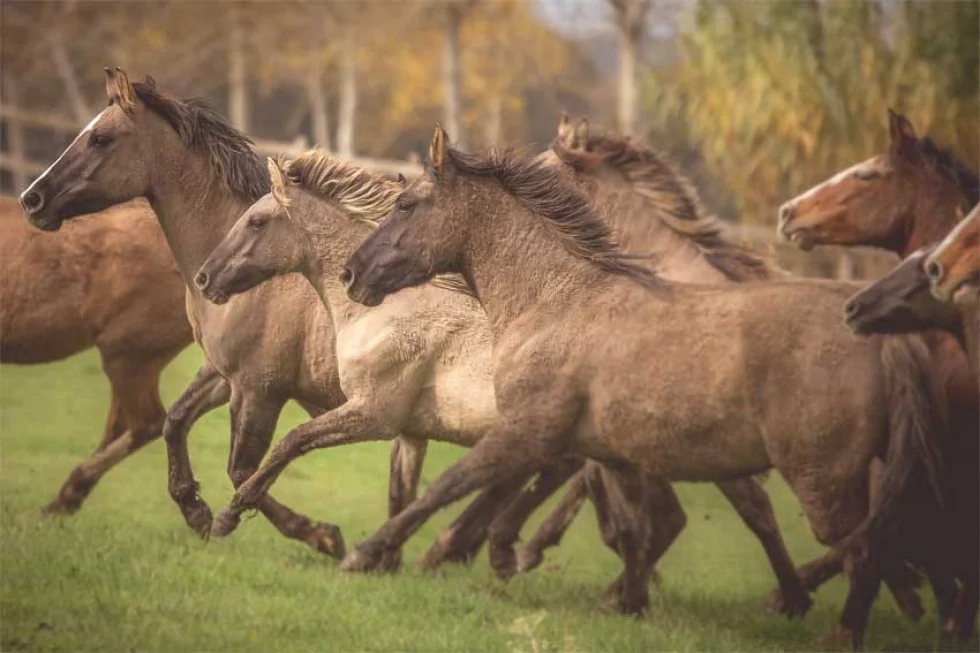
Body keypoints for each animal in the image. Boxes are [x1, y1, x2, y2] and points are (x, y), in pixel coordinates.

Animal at [196, 149, 811, 613]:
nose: (205, 278)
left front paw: (231, 517)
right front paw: (382, 557)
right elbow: (401, 492)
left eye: (256, 220)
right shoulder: (410, 432)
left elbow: (289, 445)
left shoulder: (374, 413)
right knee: (652, 520)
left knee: (746, 510)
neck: (388, 310)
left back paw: (786, 598)